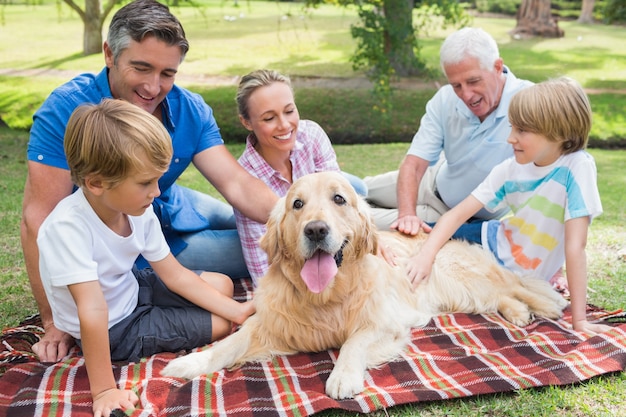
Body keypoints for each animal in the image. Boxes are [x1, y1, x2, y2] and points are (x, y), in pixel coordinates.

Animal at [160, 171, 564, 398]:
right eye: (297, 204)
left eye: (339, 199)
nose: (316, 230)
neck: (325, 296)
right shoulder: (271, 323)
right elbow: (229, 343)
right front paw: (191, 363)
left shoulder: (385, 322)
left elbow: (354, 341)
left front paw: (343, 376)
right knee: (500, 297)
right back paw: (519, 312)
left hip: (458, 274)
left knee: (511, 285)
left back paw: (543, 305)